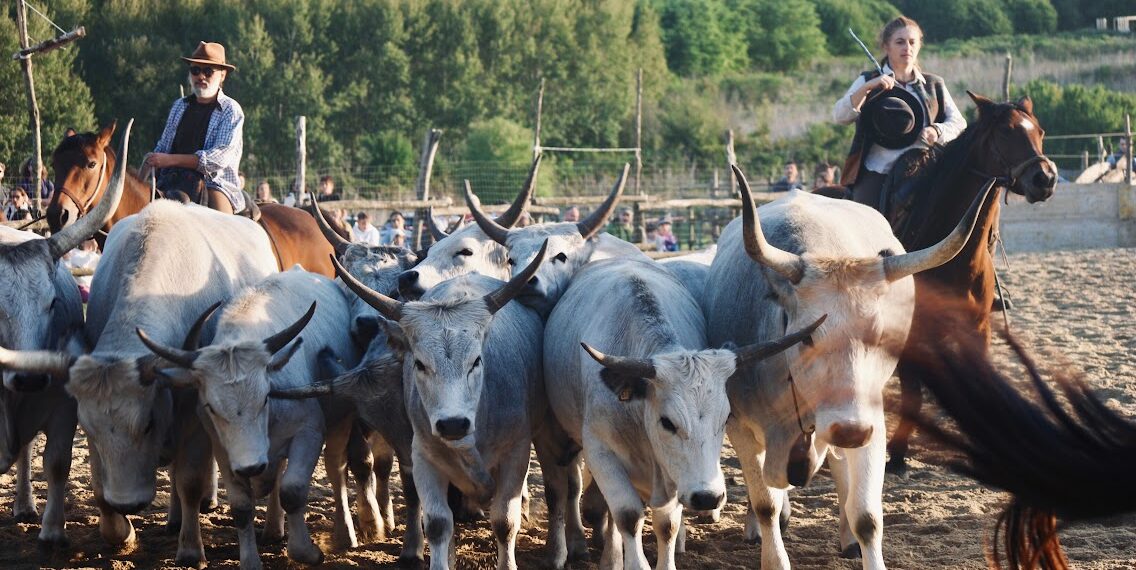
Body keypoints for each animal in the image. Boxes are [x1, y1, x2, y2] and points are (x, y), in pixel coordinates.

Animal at [821, 92, 1058, 474]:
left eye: (1040, 131)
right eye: (1005, 132)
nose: (1045, 178)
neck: (956, 255)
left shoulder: (978, 328)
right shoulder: (912, 332)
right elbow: (912, 393)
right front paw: (898, 452)